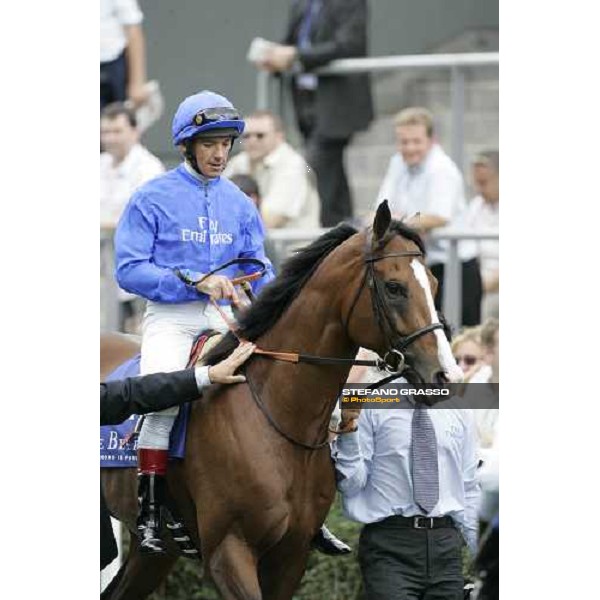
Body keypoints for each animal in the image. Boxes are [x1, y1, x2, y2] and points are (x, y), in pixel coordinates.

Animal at [101, 203, 462, 600]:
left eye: (434, 284)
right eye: (394, 287)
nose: (445, 375)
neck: (278, 416)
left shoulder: (292, 555)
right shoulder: (229, 551)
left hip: (155, 555)